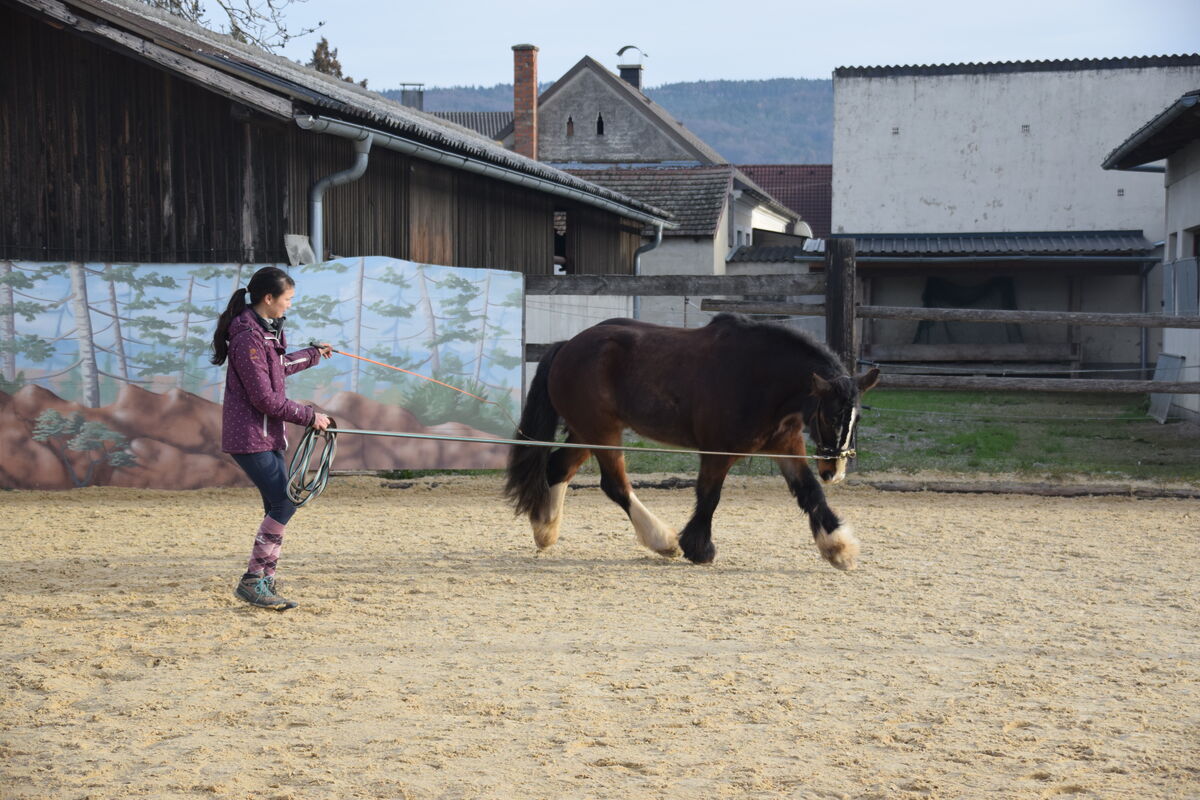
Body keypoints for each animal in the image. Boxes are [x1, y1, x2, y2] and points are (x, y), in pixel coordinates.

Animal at [503, 313, 880, 570]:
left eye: (856, 418)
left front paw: (838, 548)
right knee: (614, 484)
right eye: (830, 416)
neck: (759, 376)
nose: (834, 471)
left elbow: (809, 493)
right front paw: (698, 547)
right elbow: (709, 496)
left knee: (558, 468)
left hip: (586, 432)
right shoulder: (718, 451)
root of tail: (567, 346)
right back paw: (662, 540)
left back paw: (545, 529)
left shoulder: (786, 447)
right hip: (602, 432)